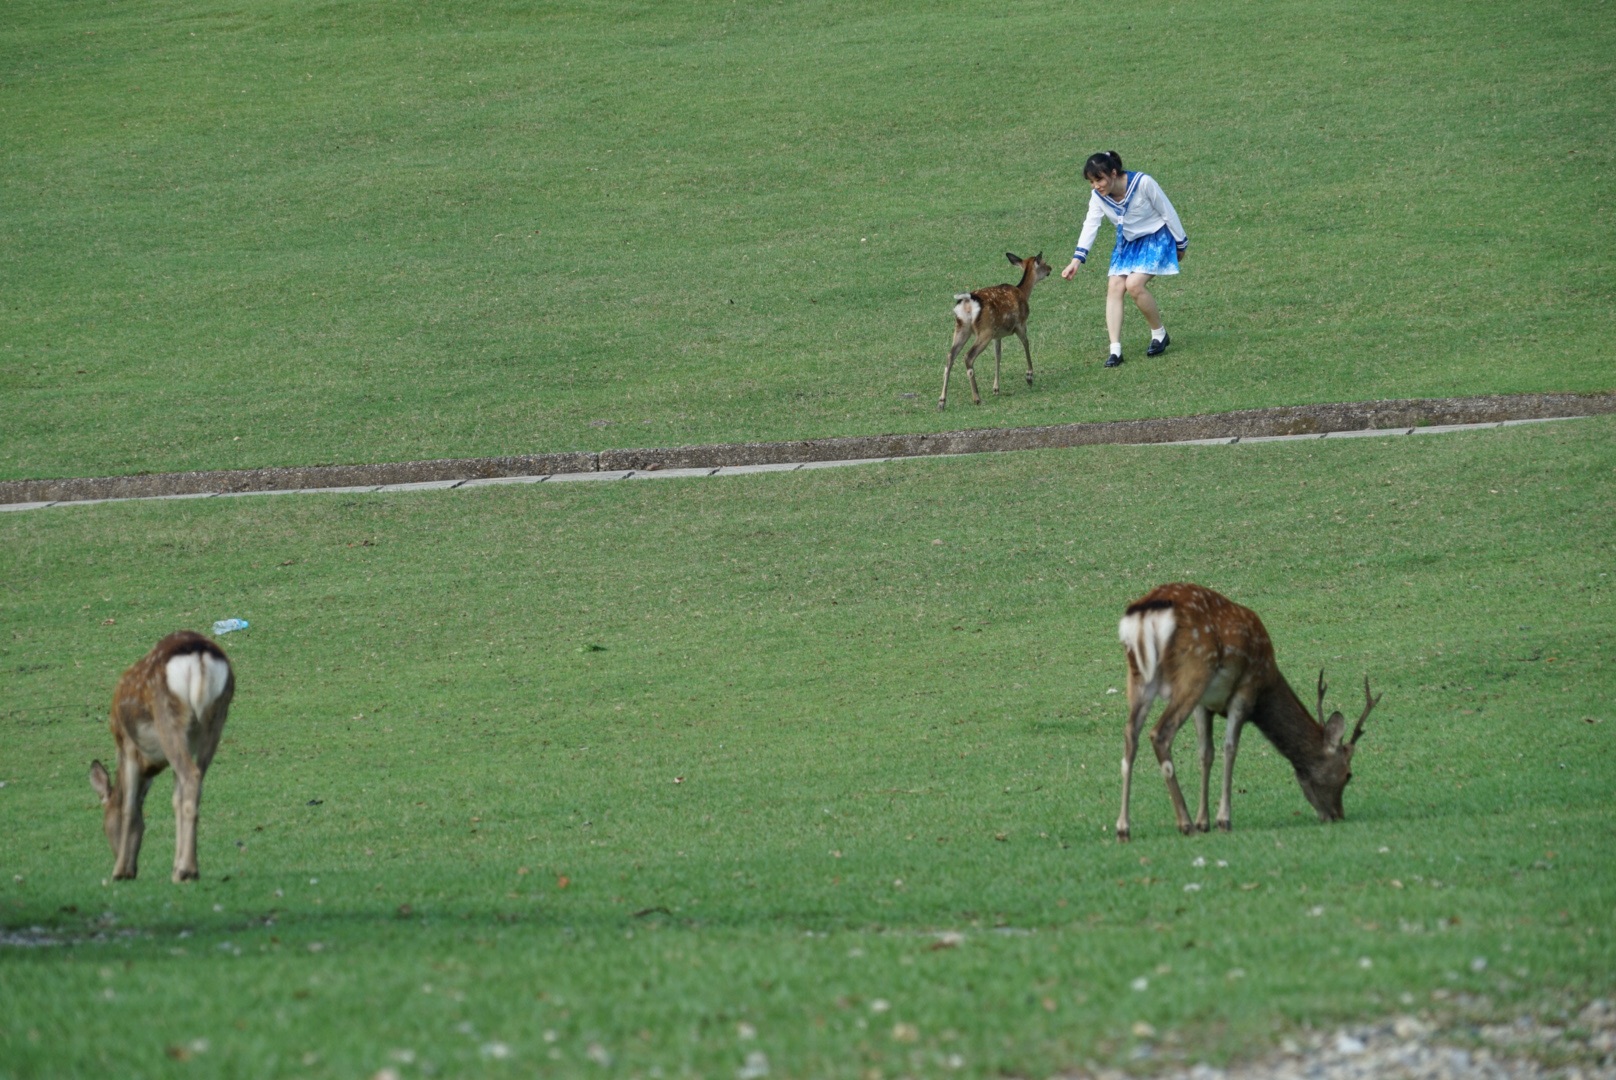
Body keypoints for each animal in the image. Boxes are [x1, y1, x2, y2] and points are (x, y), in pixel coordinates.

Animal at [88, 627, 234, 879]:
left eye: (104, 826)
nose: (131, 871)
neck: (149, 765)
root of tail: (200, 656)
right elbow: (175, 799)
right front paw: (174, 865)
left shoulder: (127, 744)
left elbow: (129, 808)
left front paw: (118, 872)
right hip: (216, 717)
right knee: (195, 780)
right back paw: (186, 869)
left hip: (167, 715)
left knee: (191, 776)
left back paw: (187, 870)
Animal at [943, 250, 1053, 410]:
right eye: (1044, 262)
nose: (1051, 268)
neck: (1023, 292)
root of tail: (968, 301)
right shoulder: (1020, 323)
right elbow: (1026, 344)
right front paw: (1029, 376)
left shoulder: (997, 335)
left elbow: (998, 355)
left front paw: (996, 388)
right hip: (984, 331)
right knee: (968, 356)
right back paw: (976, 398)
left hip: (962, 328)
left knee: (950, 356)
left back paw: (942, 401)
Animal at [1118, 585, 1383, 840]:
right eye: (1348, 774)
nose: (1337, 815)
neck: (1266, 686)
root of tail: (1144, 614)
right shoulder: (1246, 689)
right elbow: (1230, 749)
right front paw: (1223, 820)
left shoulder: (1204, 705)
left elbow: (1206, 754)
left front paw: (1204, 821)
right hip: (1194, 672)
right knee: (1160, 734)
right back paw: (1185, 824)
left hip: (1138, 678)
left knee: (1130, 734)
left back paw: (1123, 828)